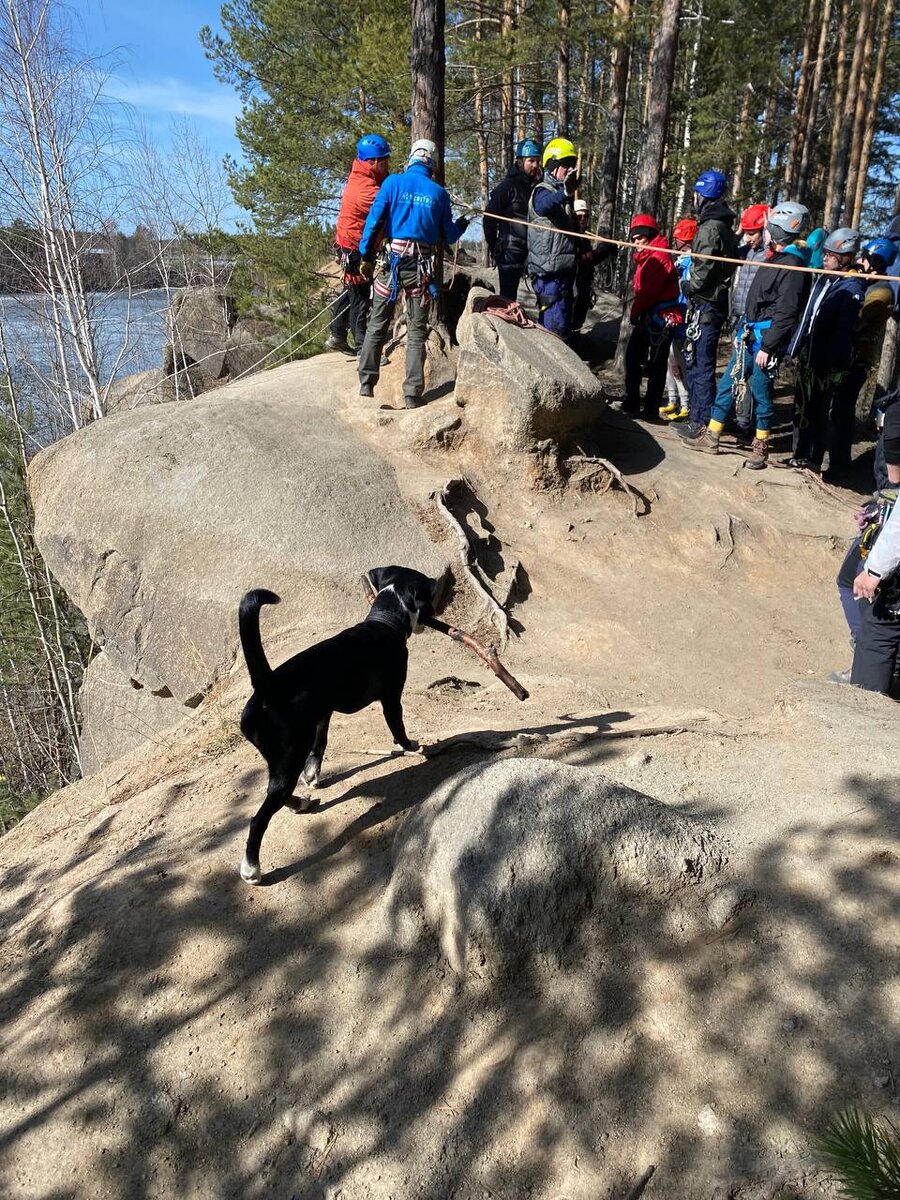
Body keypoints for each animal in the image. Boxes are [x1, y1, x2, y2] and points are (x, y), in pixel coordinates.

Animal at [237, 561, 439, 883]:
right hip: (290, 754)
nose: (436, 614)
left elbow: (321, 743)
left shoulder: (324, 712)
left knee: (274, 792)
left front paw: (313, 774)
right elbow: (398, 728)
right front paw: (412, 747)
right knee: (260, 817)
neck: (385, 620)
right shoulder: (391, 698)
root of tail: (268, 686)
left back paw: (300, 802)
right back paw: (251, 868)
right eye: (430, 597)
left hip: (279, 757)